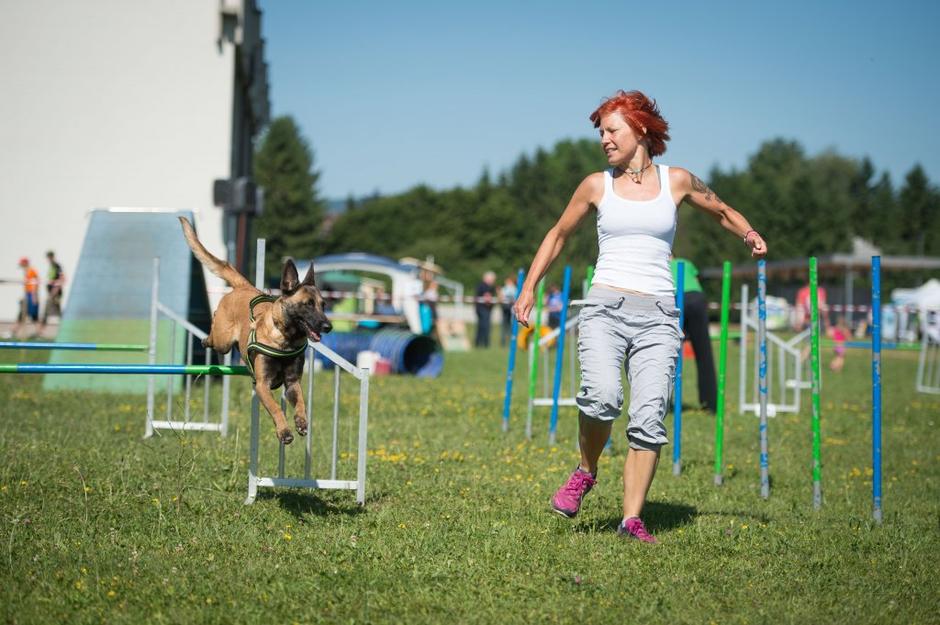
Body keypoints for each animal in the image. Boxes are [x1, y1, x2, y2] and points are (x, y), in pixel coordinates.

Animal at [180, 217, 334, 446]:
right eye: (307, 304)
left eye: (323, 305)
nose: (328, 327)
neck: (285, 340)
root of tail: (244, 287)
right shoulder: (262, 384)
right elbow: (276, 408)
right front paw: (284, 431)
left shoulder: (292, 382)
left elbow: (301, 402)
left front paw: (301, 421)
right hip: (223, 341)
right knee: (215, 333)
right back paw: (207, 337)